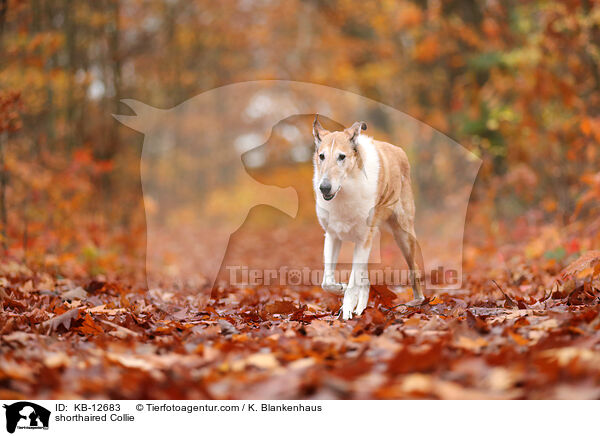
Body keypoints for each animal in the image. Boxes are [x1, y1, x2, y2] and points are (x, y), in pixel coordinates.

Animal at [312, 116, 424, 320]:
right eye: (321, 156)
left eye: (342, 157)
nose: (324, 188)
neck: (346, 190)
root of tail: (400, 151)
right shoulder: (333, 236)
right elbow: (327, 282)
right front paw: (341, 290)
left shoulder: (364, 239)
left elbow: (353, 282)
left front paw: (346, 311)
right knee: (365, 280)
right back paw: (360, 308)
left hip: (403, 236)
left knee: (415, 269)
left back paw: (418, 302)